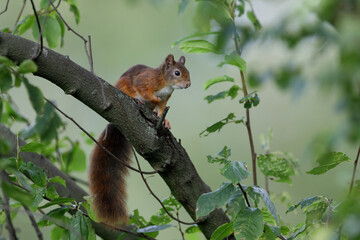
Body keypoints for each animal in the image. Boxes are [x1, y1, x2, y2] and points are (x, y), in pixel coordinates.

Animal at [89, 54, 191, 225]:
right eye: (177, 73)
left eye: (187, 71)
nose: (188, 84)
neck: (165, 83)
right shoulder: (144, 81)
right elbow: (145, 90)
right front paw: (151, 99)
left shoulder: (166, 99)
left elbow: (162, 109)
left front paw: (165, 120)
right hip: (123, 87)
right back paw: (138, 100)